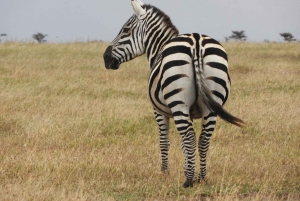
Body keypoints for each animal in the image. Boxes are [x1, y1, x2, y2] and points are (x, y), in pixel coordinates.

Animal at [103, 0, 244, 188]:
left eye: (126, 30)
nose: (105, 57)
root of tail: (196, 41)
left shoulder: (159, 111)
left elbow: (165, 141)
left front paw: (165, 172)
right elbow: (184, 144)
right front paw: (187, 169)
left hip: (178, 103)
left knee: (190, 137)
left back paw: (189, 181)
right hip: (211, 105)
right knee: (203, 139)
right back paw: (202, 178)